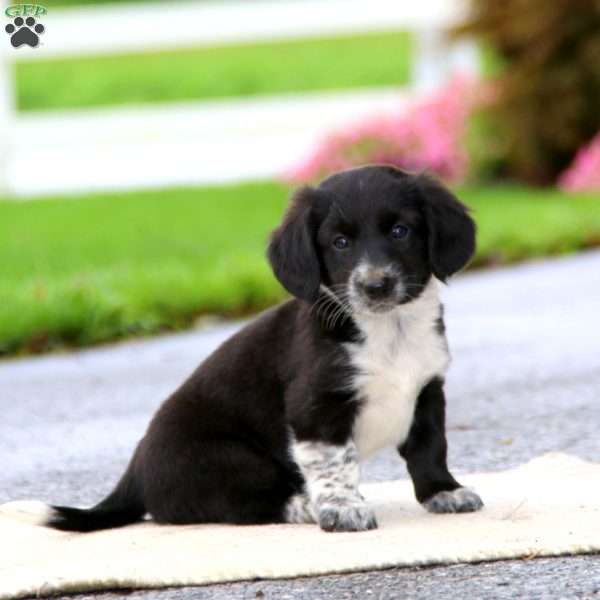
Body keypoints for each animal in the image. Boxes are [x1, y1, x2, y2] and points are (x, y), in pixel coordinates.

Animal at [44, 165, 482, 536]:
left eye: (400, 231)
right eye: (340, 242)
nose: (375, 285)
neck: (389, 332)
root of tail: (133, 472)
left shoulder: (426, 393)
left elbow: (430, 449)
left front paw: (444, 491)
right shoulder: (317, 406)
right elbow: (334, 463)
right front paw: (341, 508)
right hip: (229, 462)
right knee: (243, 504)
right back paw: (305, 506)